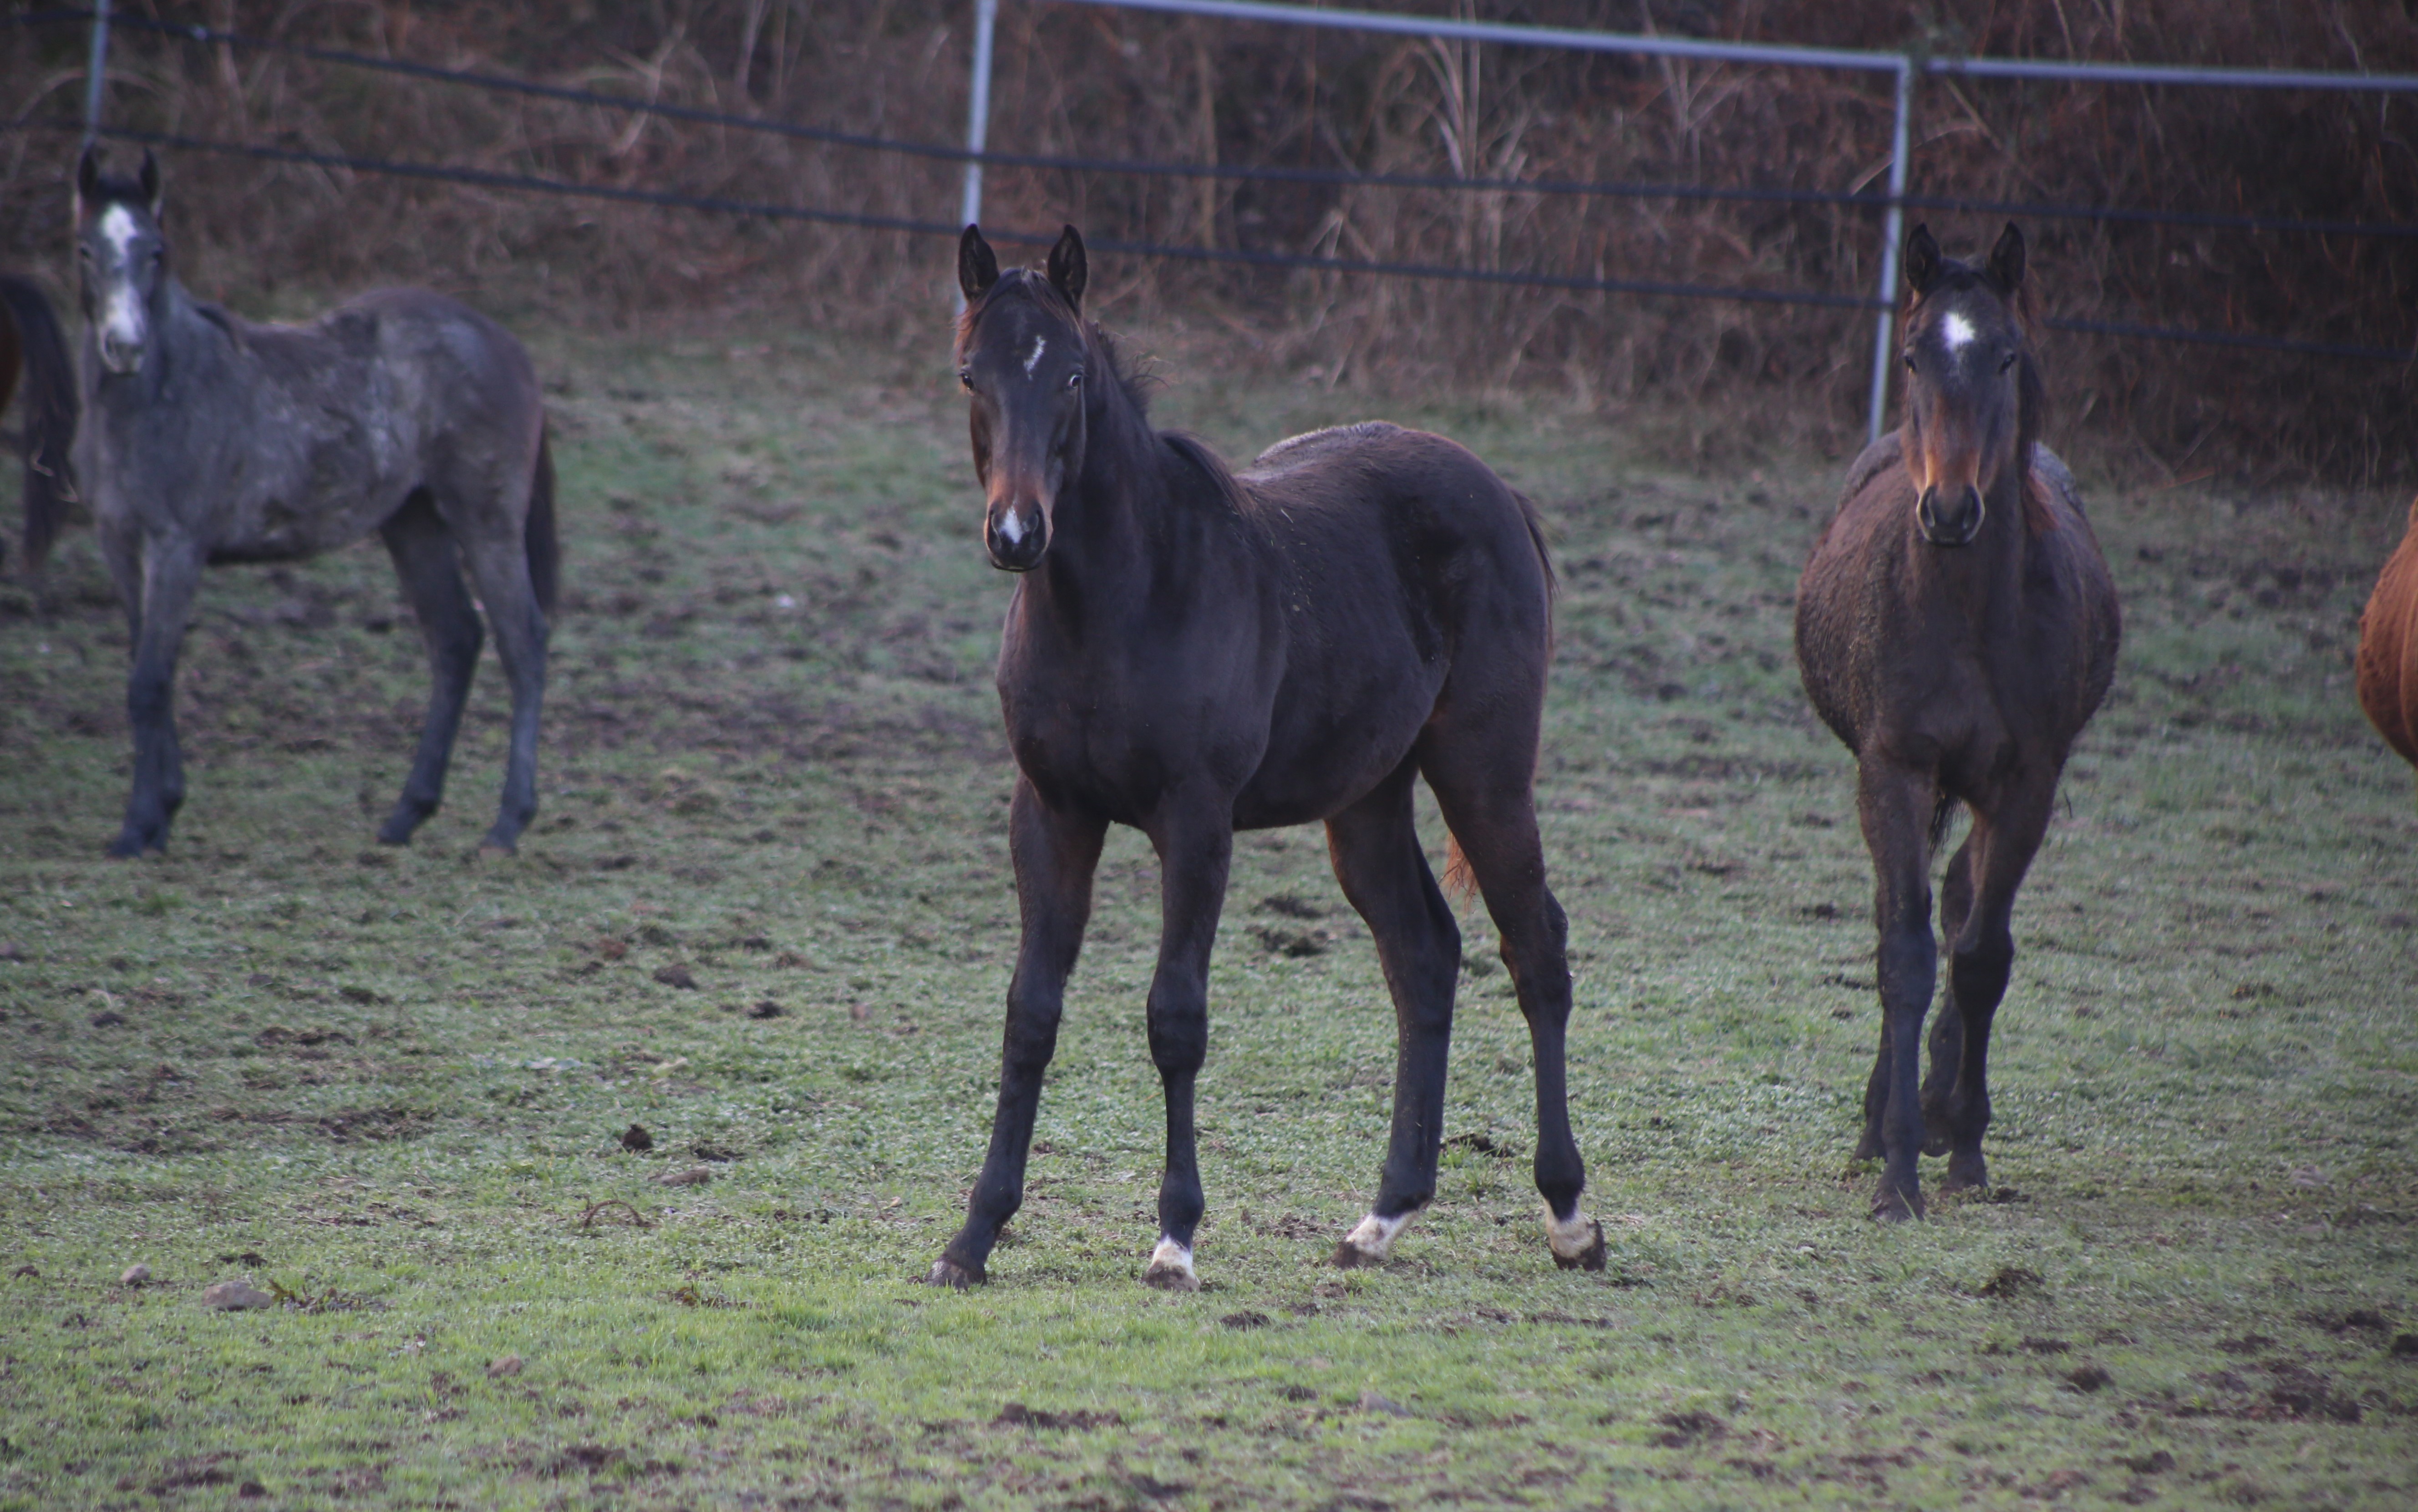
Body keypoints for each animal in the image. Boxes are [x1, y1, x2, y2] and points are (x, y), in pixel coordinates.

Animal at [924, 221, 1605, 1287]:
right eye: (969, 374)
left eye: (1071, 374)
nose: (1016, 531)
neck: (1115, 603)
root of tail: (1497, 491)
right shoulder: (1050, 812)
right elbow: (1030, 1012)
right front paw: (974, 1236)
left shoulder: (1195, 820)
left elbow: (1176, 1017)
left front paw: (1174, 1237)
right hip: (1366, 799)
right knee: (1423, 955)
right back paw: (1383, 1216)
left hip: (1485, 772)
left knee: (1535, 948)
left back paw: (1569, 1214)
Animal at [1799, 221, 2118, 1214]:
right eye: (1911, 356)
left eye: (2004, 356)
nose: (1947, 507)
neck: (1969, 614)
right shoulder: (1894, 767)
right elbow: (1901, 953)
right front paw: (1896, 1164)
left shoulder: (2024, 783)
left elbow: (1979, 956)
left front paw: (1964, 1144)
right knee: (1905, 916)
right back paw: (1885, 1121)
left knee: (1961, 906)